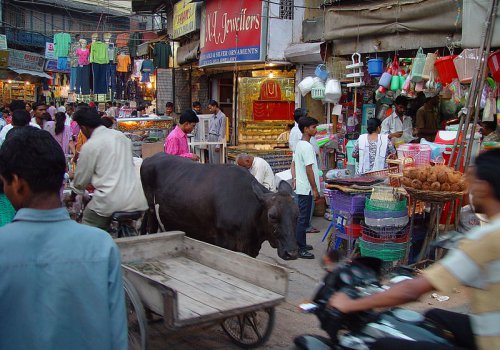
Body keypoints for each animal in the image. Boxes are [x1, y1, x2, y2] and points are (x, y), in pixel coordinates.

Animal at [139, 153, 298, 260]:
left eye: (297, 215)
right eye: (272, 216)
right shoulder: (226, 244)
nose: (291, 253)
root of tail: (151, 157)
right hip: (152, 209)